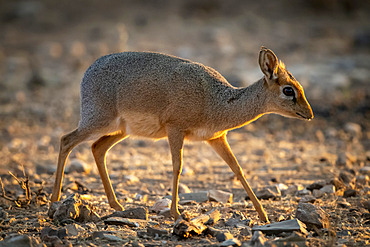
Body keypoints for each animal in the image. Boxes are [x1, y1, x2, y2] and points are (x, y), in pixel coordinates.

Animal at [51, 46, 312, 222]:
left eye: (299, 87)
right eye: (288, 90)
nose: (309, 114)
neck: (216, 100)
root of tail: (89, 70)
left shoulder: (216, 138)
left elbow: (237, 169)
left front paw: (264, 215)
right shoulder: (175, 129)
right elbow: (177, 166)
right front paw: (176, 212)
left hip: (121, 130)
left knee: (97, 148)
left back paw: (116, 205)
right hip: (98, 122)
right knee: (66, 140)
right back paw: (54, 201)